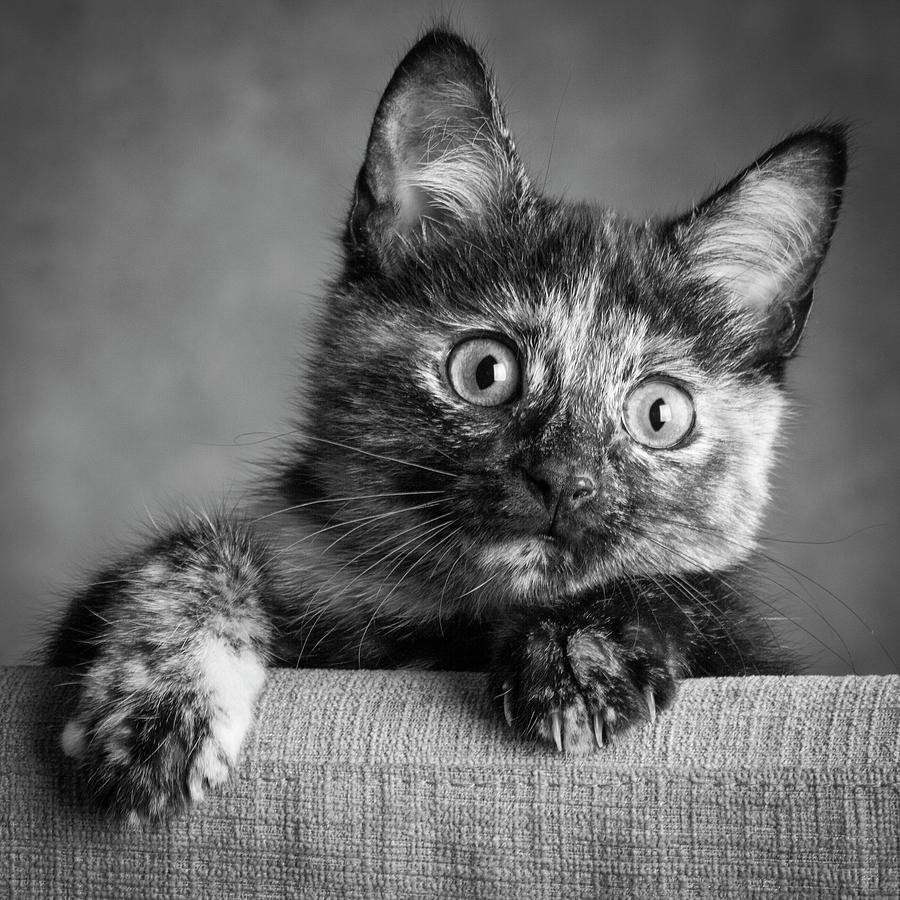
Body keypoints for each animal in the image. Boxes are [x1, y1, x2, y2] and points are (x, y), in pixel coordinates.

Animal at [49, 28, 848, 820]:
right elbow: (192, 550)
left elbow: (680, 588)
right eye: (485, 371)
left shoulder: (754, 660)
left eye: (660, 414)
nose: (565, 481)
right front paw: (157, 709)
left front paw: (580, 649)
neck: (455, 616)